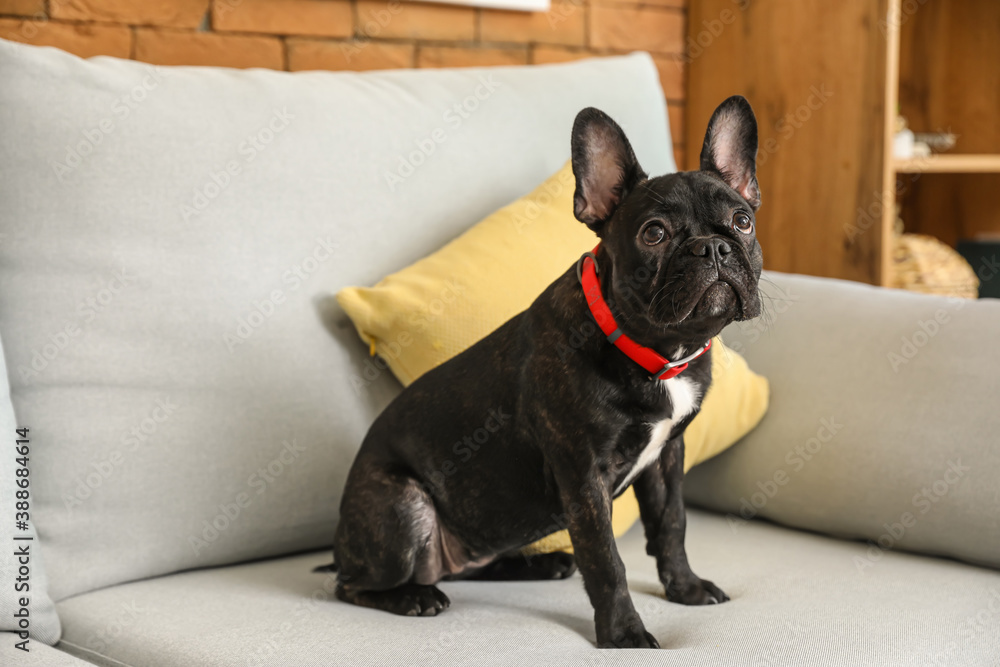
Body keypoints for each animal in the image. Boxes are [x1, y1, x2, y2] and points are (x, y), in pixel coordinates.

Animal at [332, 96, 760, 648]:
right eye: (654, 234)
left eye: (742, 221)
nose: (712, 246)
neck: (656, 353)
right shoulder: (583, 474)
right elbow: (605, 558)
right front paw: (623, 632)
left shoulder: (668, 457)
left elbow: (672, 526)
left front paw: (685, 588)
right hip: (405, 506)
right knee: (354, 585)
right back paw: (412, 597)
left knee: (471, 563)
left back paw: (540, 564)